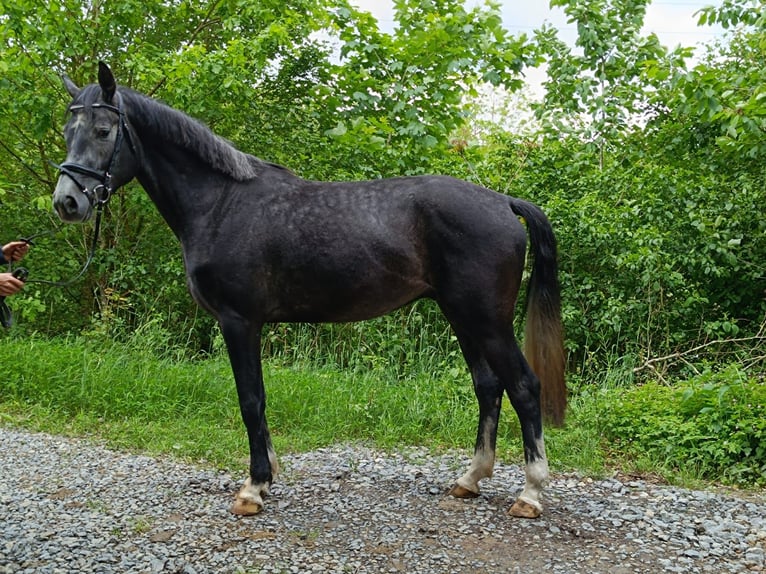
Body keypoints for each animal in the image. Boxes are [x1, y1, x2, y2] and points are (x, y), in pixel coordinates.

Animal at [52, 64, 564, 520]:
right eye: (67, 130)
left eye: (103, 130)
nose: (67, 202)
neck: (221, 204)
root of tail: (504, 202)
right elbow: (257, 398)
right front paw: (268, 476)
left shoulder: (239, 321)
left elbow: (250, 400)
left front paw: (253, 489)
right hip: (461, 316)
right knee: (488, 386)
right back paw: (469, 480)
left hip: (486, 320)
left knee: (524, 387)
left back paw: (530, 494)